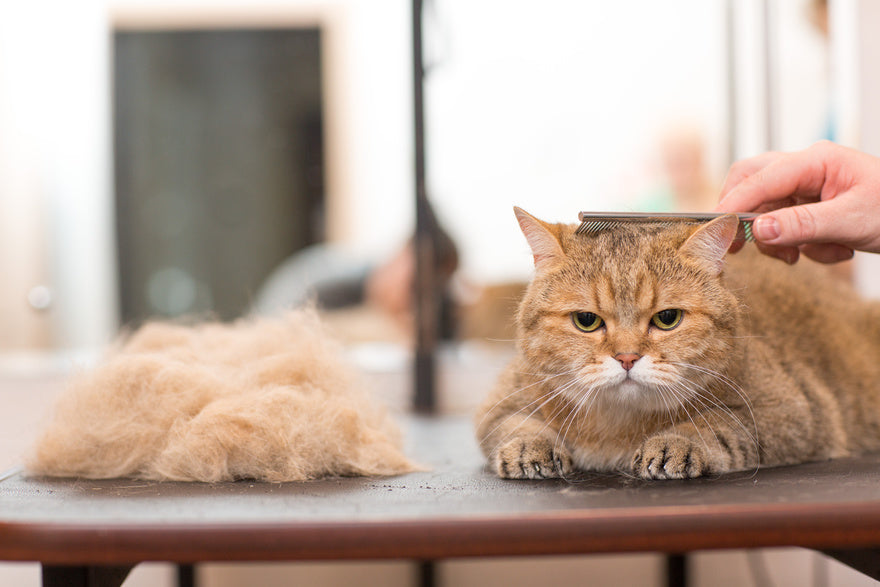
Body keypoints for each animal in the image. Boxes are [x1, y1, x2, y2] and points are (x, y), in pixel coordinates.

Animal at [478, 209, 880, 480]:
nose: (627, 357)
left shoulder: (793, 410)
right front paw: (529, 445)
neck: (617, 426)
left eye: (667, 318)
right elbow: (514, 424)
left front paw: (676, 440)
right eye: (586, 320)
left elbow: (716, 421)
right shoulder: (500, 402)